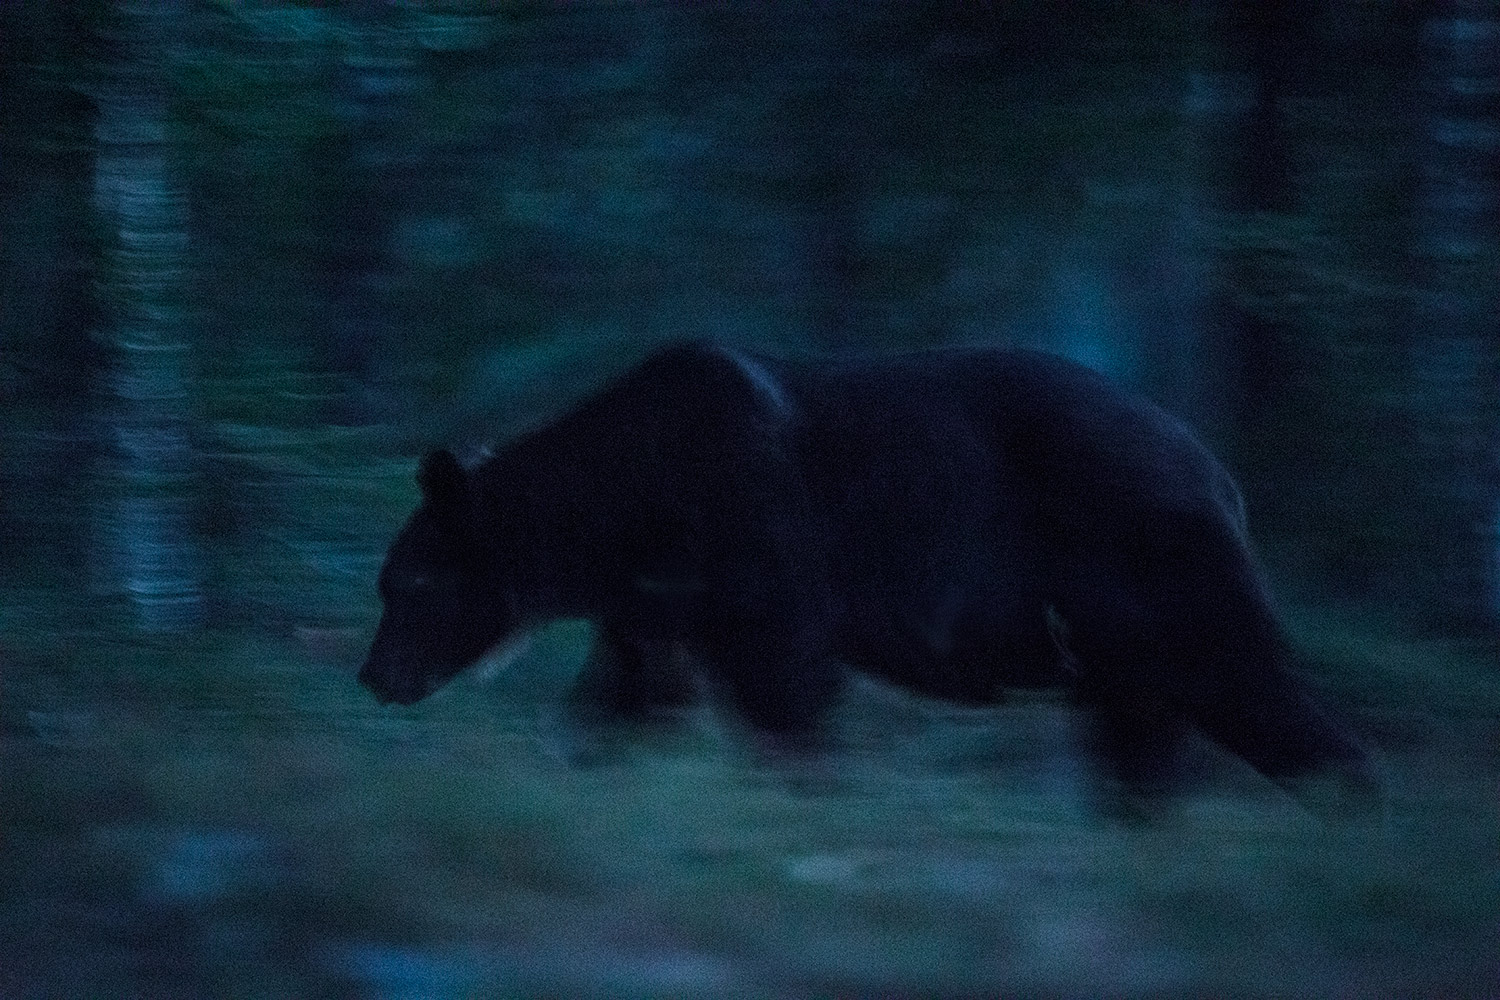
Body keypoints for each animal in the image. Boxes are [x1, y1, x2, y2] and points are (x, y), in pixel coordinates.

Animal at [357, 340, 1374, 815]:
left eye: (404, 585)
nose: (373, 677)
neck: (626, 504)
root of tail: (1220, 470)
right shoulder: (659, 598)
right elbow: (624, 695)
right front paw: (572, 763)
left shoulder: (752, 522)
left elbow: (787, 682)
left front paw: (808, 795)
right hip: (1118, 633)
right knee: (1143, 728)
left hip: (1148, 563)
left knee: (1246, 686)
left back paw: (1349, 809)